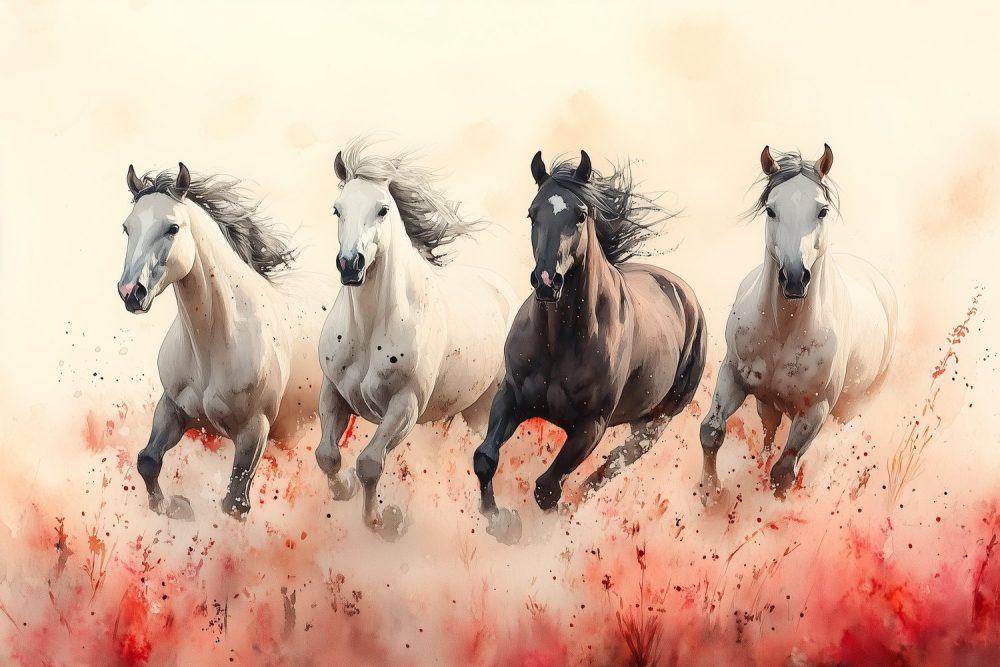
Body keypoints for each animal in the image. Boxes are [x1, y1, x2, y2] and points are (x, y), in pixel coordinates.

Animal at [117, 163, 329, 520]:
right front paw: (178, 507)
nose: (131, 292)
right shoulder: (172, 409)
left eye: (173, 228)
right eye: (126, 227)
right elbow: (148, 461)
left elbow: (235, 501)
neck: (213, 346)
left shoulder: (254, 432)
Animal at [313, 141, 518, 541]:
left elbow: (370, 462)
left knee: (484, 455)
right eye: (337, 209)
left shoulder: (404, 405)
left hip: (484, 409)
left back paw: (498, 519)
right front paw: (344, 486)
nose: (350, 264)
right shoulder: (333, 391)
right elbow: (327, 456)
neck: (371, 327)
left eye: (382, 209)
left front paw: (383, 520)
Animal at [472, 150, 708, 544]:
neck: (558, 343)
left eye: (580, 215)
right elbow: (485, 458)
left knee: (609, 468)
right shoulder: (511, 397)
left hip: (654, 423)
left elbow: (547, 488)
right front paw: (503, 524)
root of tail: (683, 293)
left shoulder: (590, 426)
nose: (547, 281)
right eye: (532, 213)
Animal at [699, 144, 896, 501]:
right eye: (770, 210)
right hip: (767, 401)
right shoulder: (733, 376)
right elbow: (712, 432)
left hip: (849, 410)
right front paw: (709, 495)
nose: (793, 277)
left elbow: (784, 474)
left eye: (822, 211)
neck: (784, 330)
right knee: (767, 432)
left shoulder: (814, 411)